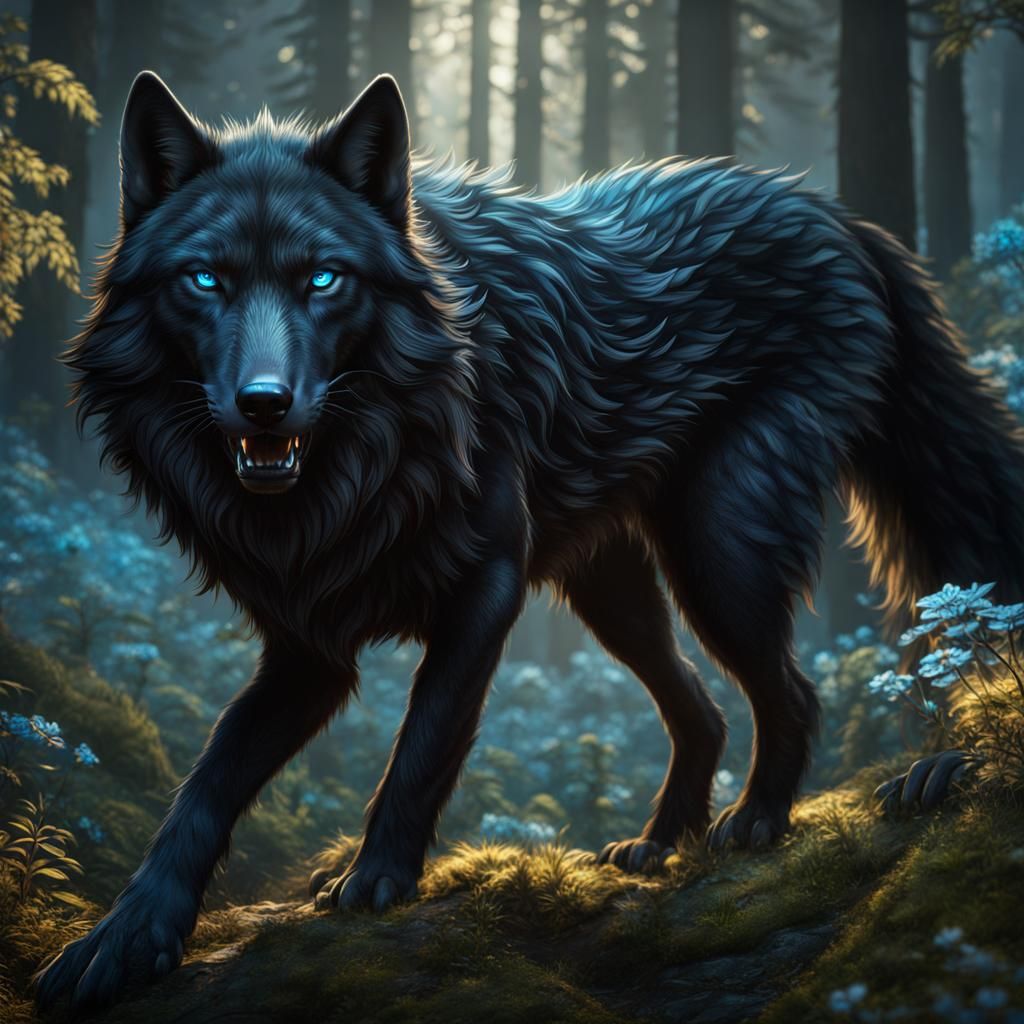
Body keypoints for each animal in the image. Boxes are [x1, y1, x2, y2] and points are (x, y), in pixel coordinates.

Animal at [36, 70, 1024, 1009]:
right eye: (205, 280)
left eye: (324, 279)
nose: (265, 405)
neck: (359, 463)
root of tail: (834, 215)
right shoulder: (307, 647)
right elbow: (208, 782)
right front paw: (125, 938)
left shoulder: (486, 589)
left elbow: (424, 740)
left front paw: (373, 879)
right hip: (614, 590)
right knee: (702, 709)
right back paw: (658, 845)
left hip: (720, 552)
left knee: (792, 691)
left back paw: (756, 824)